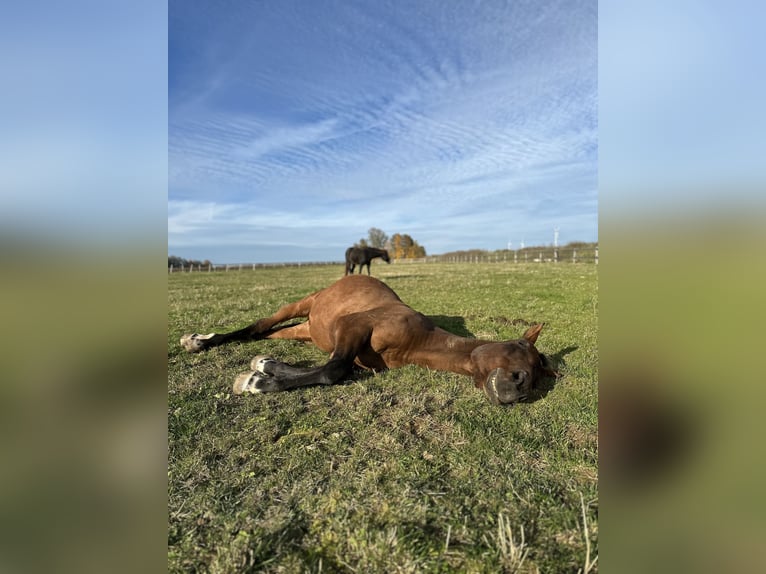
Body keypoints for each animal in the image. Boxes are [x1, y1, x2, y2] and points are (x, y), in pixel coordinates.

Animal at [183, 274, 560, 404]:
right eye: (521, 347)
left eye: (537, 378)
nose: (519, 389)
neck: (416, 341)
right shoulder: (353, 326)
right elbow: (333, 370)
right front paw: (258, 380)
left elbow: (337, 367)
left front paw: (266, 367)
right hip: (303, 303)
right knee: (261, 324)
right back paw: (199, 341)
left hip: (306, 331)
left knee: (267, 332)